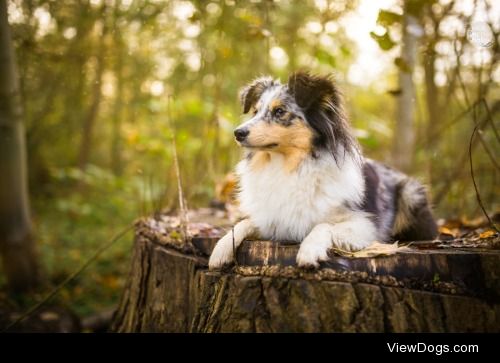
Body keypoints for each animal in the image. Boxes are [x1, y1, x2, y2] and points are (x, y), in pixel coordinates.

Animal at [209, 71, 436, 270]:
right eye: (255, 111)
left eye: (280, 111)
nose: (238, 133)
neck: (289, 166)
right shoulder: (273, 219)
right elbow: (241, 224)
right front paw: (220, 251)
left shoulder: (366, 224)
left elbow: (324, 225)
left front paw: (309, 251)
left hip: (411, 193)